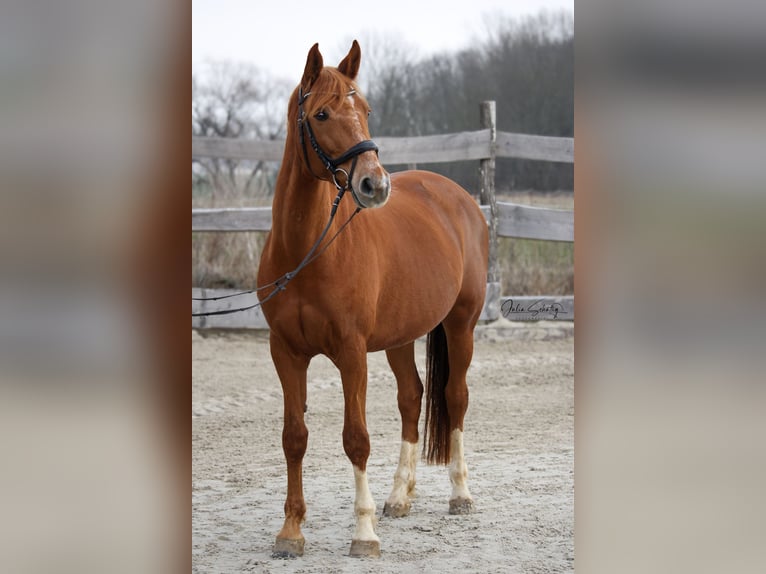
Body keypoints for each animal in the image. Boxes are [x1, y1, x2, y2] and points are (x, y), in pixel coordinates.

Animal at [256, 41, 486, 564]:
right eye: (321, 114)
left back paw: (460, 495)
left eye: (364, 110)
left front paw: (364, 534)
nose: (375, 185)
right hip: (401, 337)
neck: (307, 250)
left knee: (454, 397)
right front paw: (290, 531)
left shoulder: (351, 353)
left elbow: (356, 439)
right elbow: (294, 438)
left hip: (461, 325)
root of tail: (458, 197)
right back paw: (399, 497)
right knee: (412, 398)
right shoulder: (286, 353)